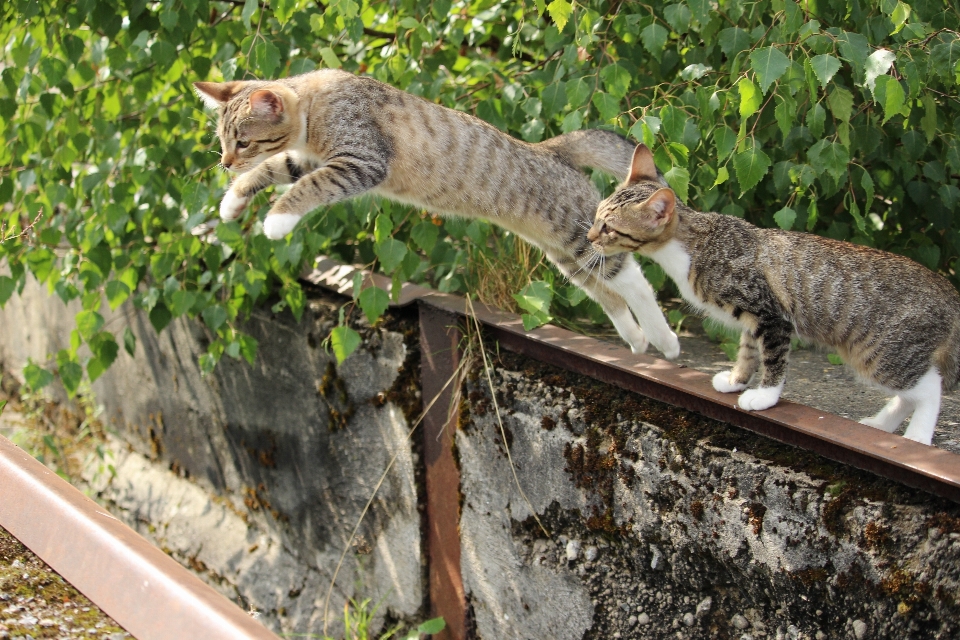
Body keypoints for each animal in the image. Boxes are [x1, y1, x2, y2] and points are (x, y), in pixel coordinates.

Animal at [191, 72, 680, 360]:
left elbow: (304, 187)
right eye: (223, 140)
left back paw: (665, 340)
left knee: (635, 279)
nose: (225, 162)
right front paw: (232, 201)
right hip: (568, 255)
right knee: (607, 291)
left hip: (581, 235)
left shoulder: (360, 162)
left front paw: (277, 219)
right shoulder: (308, 157)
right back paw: (636, 338)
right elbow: (275, 168)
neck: (315, 102)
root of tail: (551, 149)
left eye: (243, 141)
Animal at [584, 144, 960, 444]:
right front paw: (736, 379)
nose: (588, 237)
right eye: (596, 215)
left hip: (880, 354)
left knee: (930, 388)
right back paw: (881, 425)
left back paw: (917, 437)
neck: (694, 245)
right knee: (910, 393)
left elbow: (774, 359)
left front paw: (764, 396)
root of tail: (948, 289)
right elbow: (749, 351)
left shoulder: (770, 314)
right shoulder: (753, 320)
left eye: (609, 228)